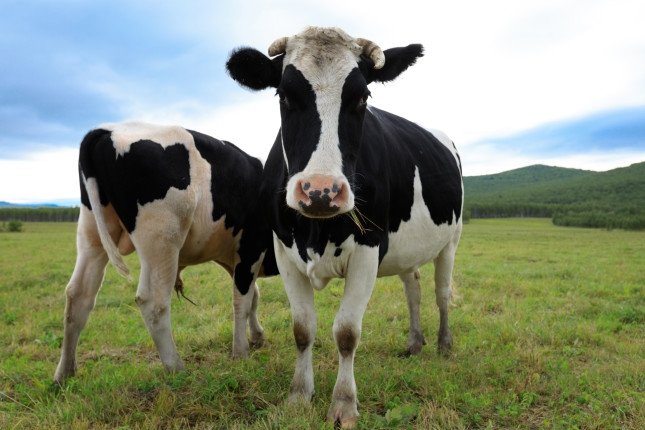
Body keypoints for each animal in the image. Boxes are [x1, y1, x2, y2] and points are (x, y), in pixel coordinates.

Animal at [52, 121, 276, 382]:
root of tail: (108, 130)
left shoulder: (237, 258)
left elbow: (253, 296)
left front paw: (257, 336)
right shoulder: (251, 247)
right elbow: (242, 301)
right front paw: (241, 353)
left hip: (92, 235)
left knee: (78, 295)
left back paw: (64, 374)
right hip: (162, 240)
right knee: (153, 301)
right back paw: (175, 366)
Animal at [226, 26, 462, 426]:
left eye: (362, 97)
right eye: (284, 95)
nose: (320, 191)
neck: (316, 231)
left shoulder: (369, 249)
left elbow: (347, 332)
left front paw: (343, 404)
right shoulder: (284, 251)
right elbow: (303, 329)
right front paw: (299, 395)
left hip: (451, 241)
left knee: (441, 293)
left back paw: (444, 344)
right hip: (407, 249)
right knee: (413, 288)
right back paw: (414, 342)